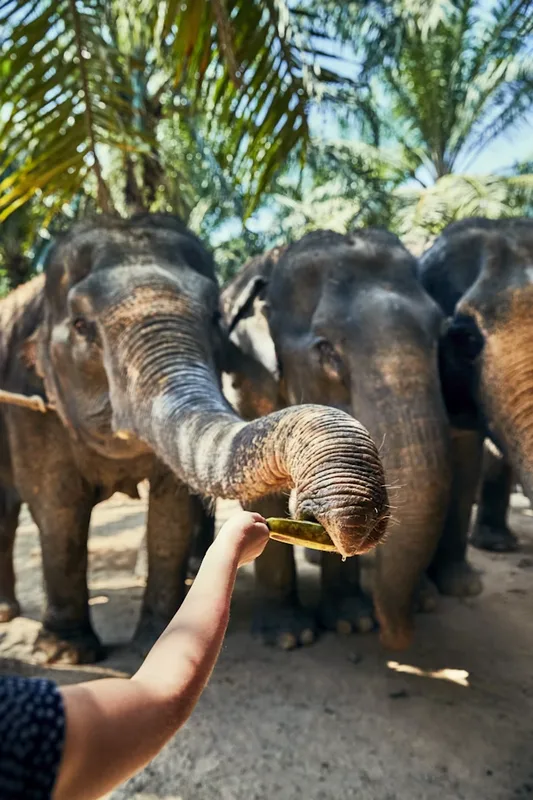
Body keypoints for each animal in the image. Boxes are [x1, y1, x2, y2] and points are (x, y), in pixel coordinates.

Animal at [0, 213, 389, 665]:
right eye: (81, 326)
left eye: (216, 319)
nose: (319, 514)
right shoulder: (29, 403)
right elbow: (58, 508)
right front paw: (65, 654)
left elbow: (172, 510)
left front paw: (155, 639)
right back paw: (10, 614)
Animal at [221, 228, 477, 651]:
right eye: (326, 351)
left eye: (440, 338)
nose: (395, 638)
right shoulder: (248, 382)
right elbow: (260, 491)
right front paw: (289, 636)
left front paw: (351, 623)